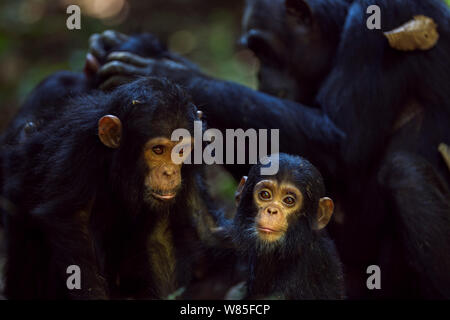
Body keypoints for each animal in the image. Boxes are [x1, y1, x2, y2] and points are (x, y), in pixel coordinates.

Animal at [0, 78, 221, 300]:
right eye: (158, 150)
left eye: (181, 151)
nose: (169, 172)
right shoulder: (79, 149)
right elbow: (73, 226)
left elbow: (162, 237)